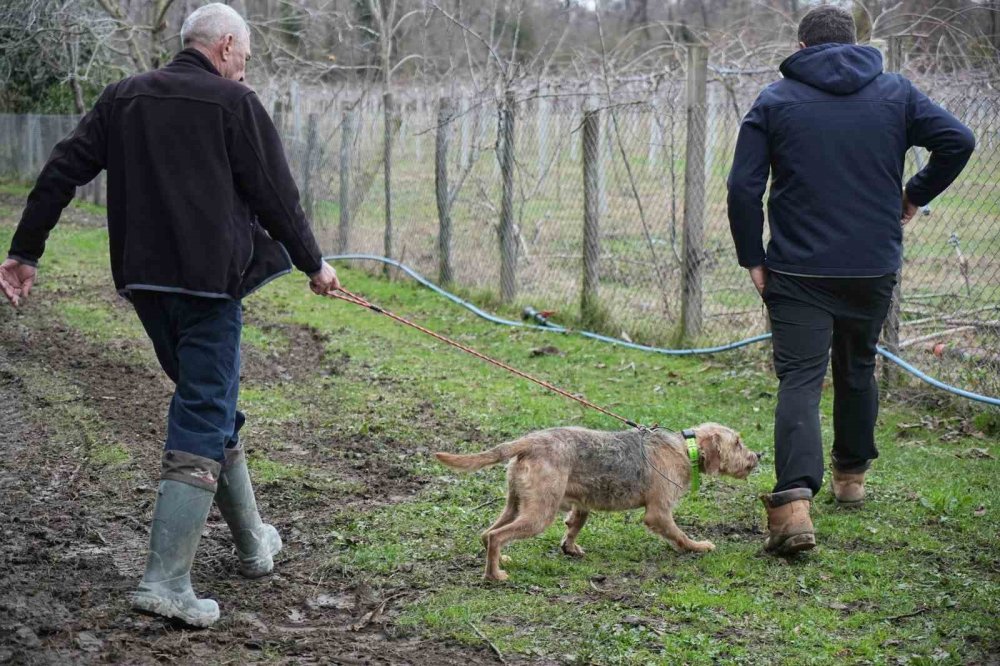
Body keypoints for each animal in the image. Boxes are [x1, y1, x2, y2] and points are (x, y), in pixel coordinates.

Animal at [436, 422, 756, 580]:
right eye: (738, 443)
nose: (759, 456)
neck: (684, 447)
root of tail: (530, 441)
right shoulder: (659, 513)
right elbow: (680, 535)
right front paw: (698, 547)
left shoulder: (582, 505)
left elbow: (574, 526)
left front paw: (570, 547)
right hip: (539, 514)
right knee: (496, 536)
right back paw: (494, 575)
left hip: (517, 504)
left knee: (487, 534)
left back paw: (500, 559)